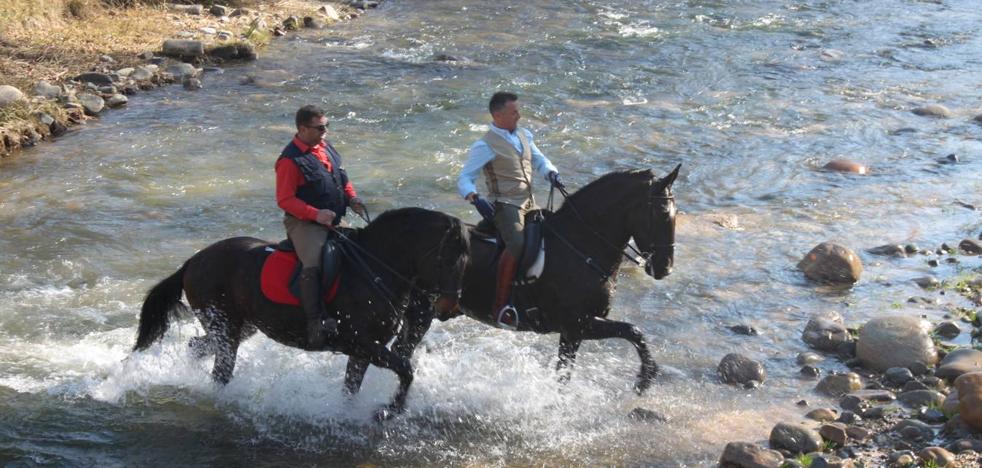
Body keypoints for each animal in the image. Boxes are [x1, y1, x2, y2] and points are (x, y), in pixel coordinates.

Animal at [131, 207, 468, 418]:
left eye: (466, 261)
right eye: (447, 260)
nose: (449, 309)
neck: (373, 268)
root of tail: (193, 262)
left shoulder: (364, 349)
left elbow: (352, 388)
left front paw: (352, 414)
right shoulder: (363, 344)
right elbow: (407, 370)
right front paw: (388, 412)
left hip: (239, 327)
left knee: (197, 347)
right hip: (225, 327)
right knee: (221, 371)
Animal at [344, 166, 676, 396]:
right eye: (661, 213)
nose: (665, 268)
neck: (579, 245)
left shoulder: (575, 330)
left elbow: (585, 360)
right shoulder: (577, 325)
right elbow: (630, 333)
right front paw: (643, 380)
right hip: (418, 314)